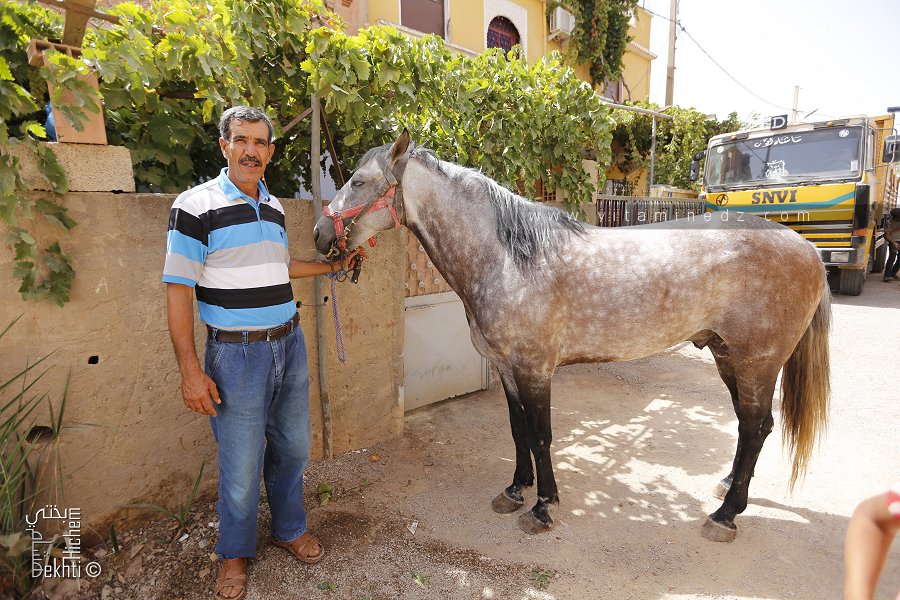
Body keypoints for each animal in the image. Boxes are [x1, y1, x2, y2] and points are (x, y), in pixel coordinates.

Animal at [313, 131, 831, 542]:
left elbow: (542, 436)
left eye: (360, 181)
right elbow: (518, 430)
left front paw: (543, 506)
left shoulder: (535, 370)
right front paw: (515, 490)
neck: (508, 259)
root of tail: (806, 248)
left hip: (757, 361)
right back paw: (727, 490)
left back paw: (725, 515)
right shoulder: (507, 369)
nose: (319, 235)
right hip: (727, 356)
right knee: (750, 426)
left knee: (755, 427)